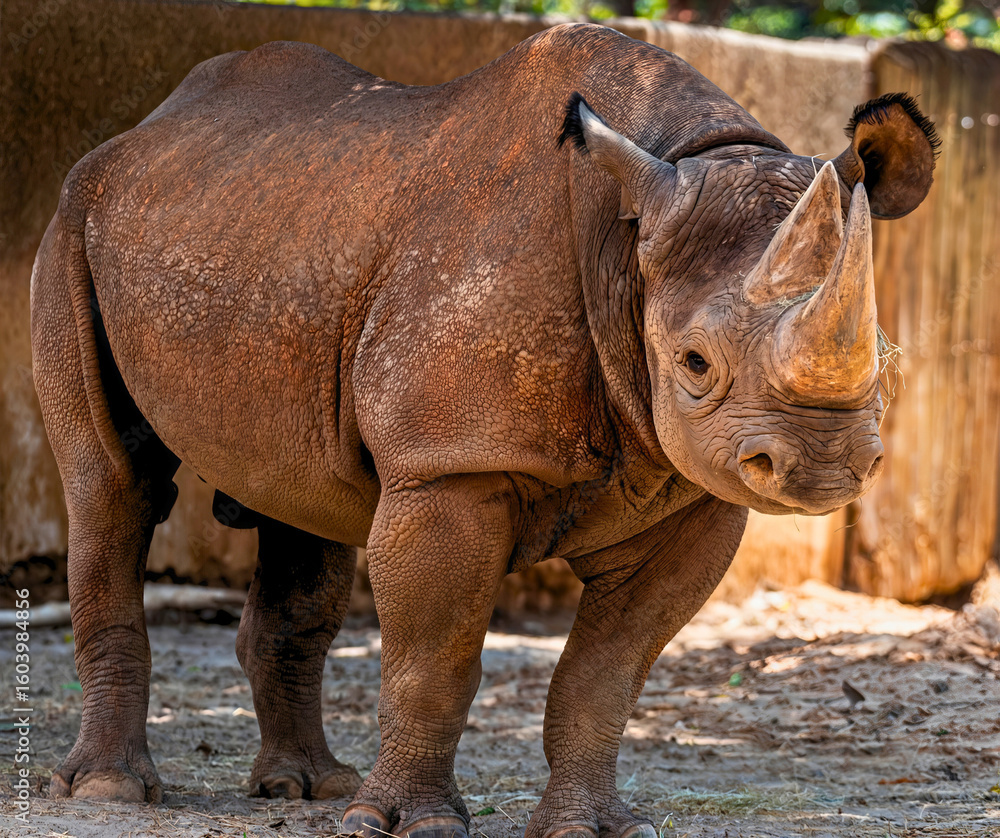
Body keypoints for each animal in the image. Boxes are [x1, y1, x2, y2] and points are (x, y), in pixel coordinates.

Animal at [32, 22, 936, 838]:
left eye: (886, 357)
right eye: (694, 363)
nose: (820, 467)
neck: (629, 237)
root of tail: (145, 129)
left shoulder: (692, 494)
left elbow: (606, 674)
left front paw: (595, 828)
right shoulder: (448, 465)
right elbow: (434, 660)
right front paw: (407, 824)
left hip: (261, 237)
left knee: (298, 501)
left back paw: (308, 788)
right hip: (75, 219)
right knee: (112, 484)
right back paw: (111, 791)